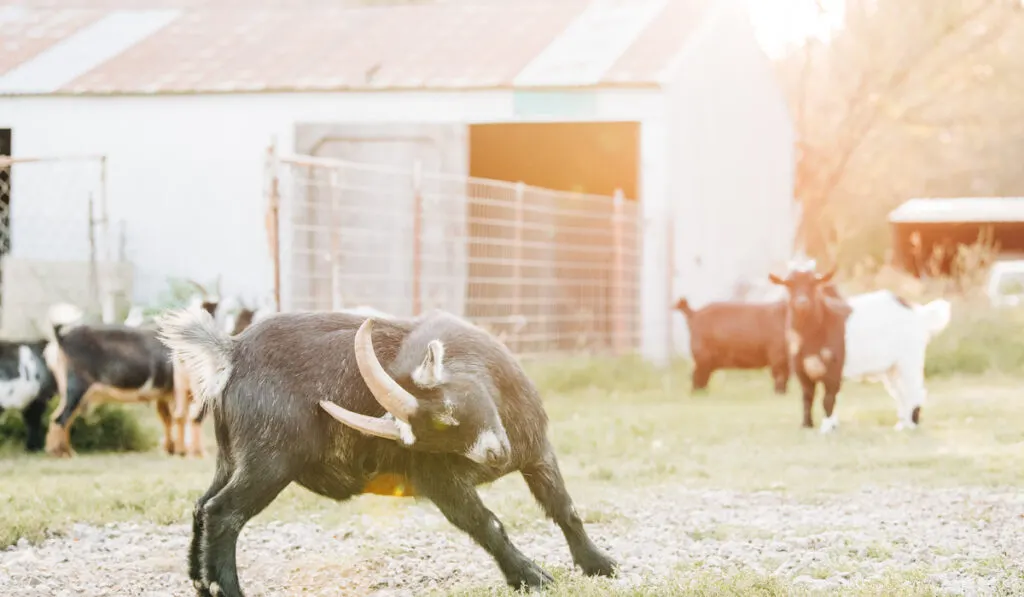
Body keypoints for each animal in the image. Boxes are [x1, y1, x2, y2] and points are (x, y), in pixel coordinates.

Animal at [155, 305, 610, 593]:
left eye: (448, 410)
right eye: (418, 439)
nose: (495, 456)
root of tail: (232, 353)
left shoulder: (537, 452)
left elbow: (564, 508)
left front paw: (599, 565)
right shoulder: (441, 480)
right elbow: (487, 525)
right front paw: (533, 578)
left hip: (230, 457)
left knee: (201, 505)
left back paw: (201, 582)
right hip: (269, 460)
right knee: (223, 513)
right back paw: (227, 589)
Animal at [770, 264, 856, 430]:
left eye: (814, 283)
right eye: (789, 284)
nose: (802, 302)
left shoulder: (835, 369)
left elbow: (828, 399)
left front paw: (827, 427)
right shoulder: (800, 369)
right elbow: (807, 396)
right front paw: (806, 424)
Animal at [823, 290, 950, 434]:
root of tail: (917, 313)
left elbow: (829, 398)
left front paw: (827, 428)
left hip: (908, 362)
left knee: (915, 391)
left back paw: (911, 426)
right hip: (893, 369)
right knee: (902, 394)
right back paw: (902, 425)